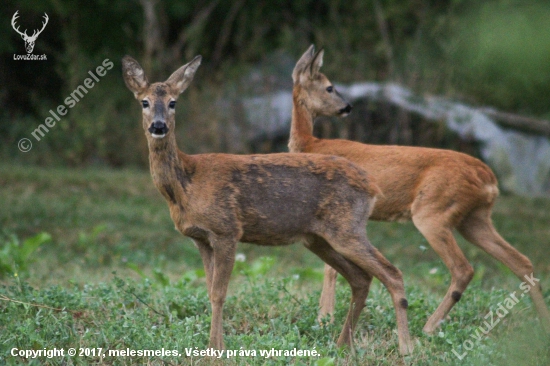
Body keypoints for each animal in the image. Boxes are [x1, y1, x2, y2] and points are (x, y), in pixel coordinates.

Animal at [121, 55, 414, 354]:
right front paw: (215, 346)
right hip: (318, 238)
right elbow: (209, 290)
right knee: (361, 278)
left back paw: (406, 348)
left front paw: (217, 349)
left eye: (173, 102)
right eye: (144, 102)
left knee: (392, 273)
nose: (158, 126)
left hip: (347, 228)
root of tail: (372, 185)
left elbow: (219, 293)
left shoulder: (227, 229)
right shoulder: (201, 238)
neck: (186, 184)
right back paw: (343, 345)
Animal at [288, 44, 550, 334]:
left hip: (433, 212)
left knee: (464, 268)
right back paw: (541, 326)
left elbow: (330, 268)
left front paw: (324, 319)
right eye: (330, 87)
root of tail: (490, 177)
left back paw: (428, 327)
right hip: (475, 218)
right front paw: (325, 318)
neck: (311, 145)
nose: (348, 107)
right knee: (521, 261)